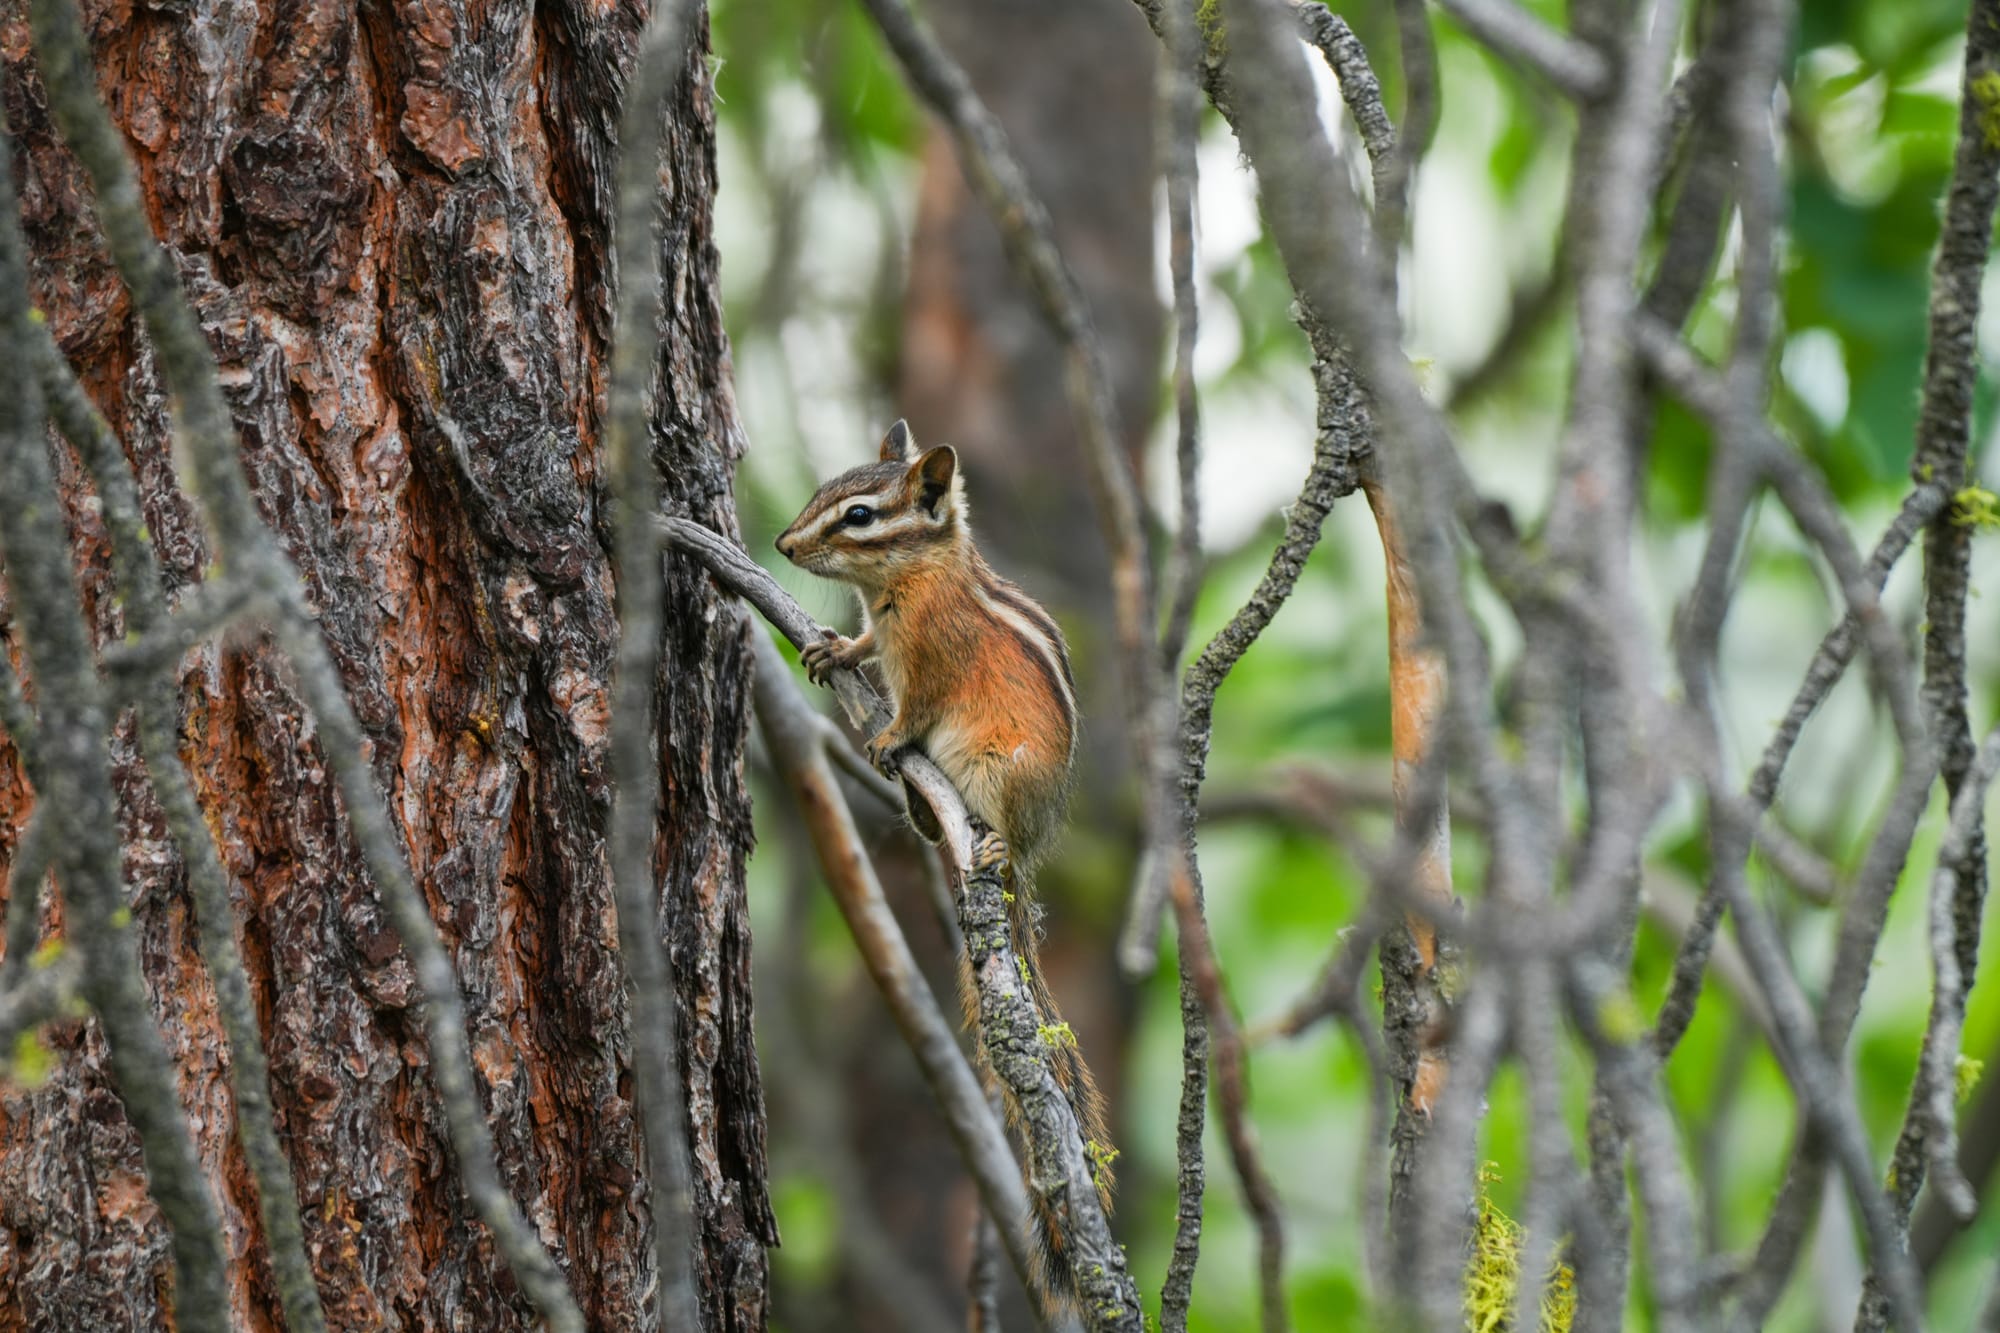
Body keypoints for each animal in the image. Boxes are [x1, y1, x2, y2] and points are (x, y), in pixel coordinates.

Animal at [775, 418, 1114, 1293]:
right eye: (825, 492)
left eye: (860, 516)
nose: (785, 544)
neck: (913, 577)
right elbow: (864, 645)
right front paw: (834, 649)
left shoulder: (931, 659)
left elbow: (918, 703)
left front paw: (888, 734)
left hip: (1005, 776)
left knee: (1006, 837)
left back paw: (985, 841)